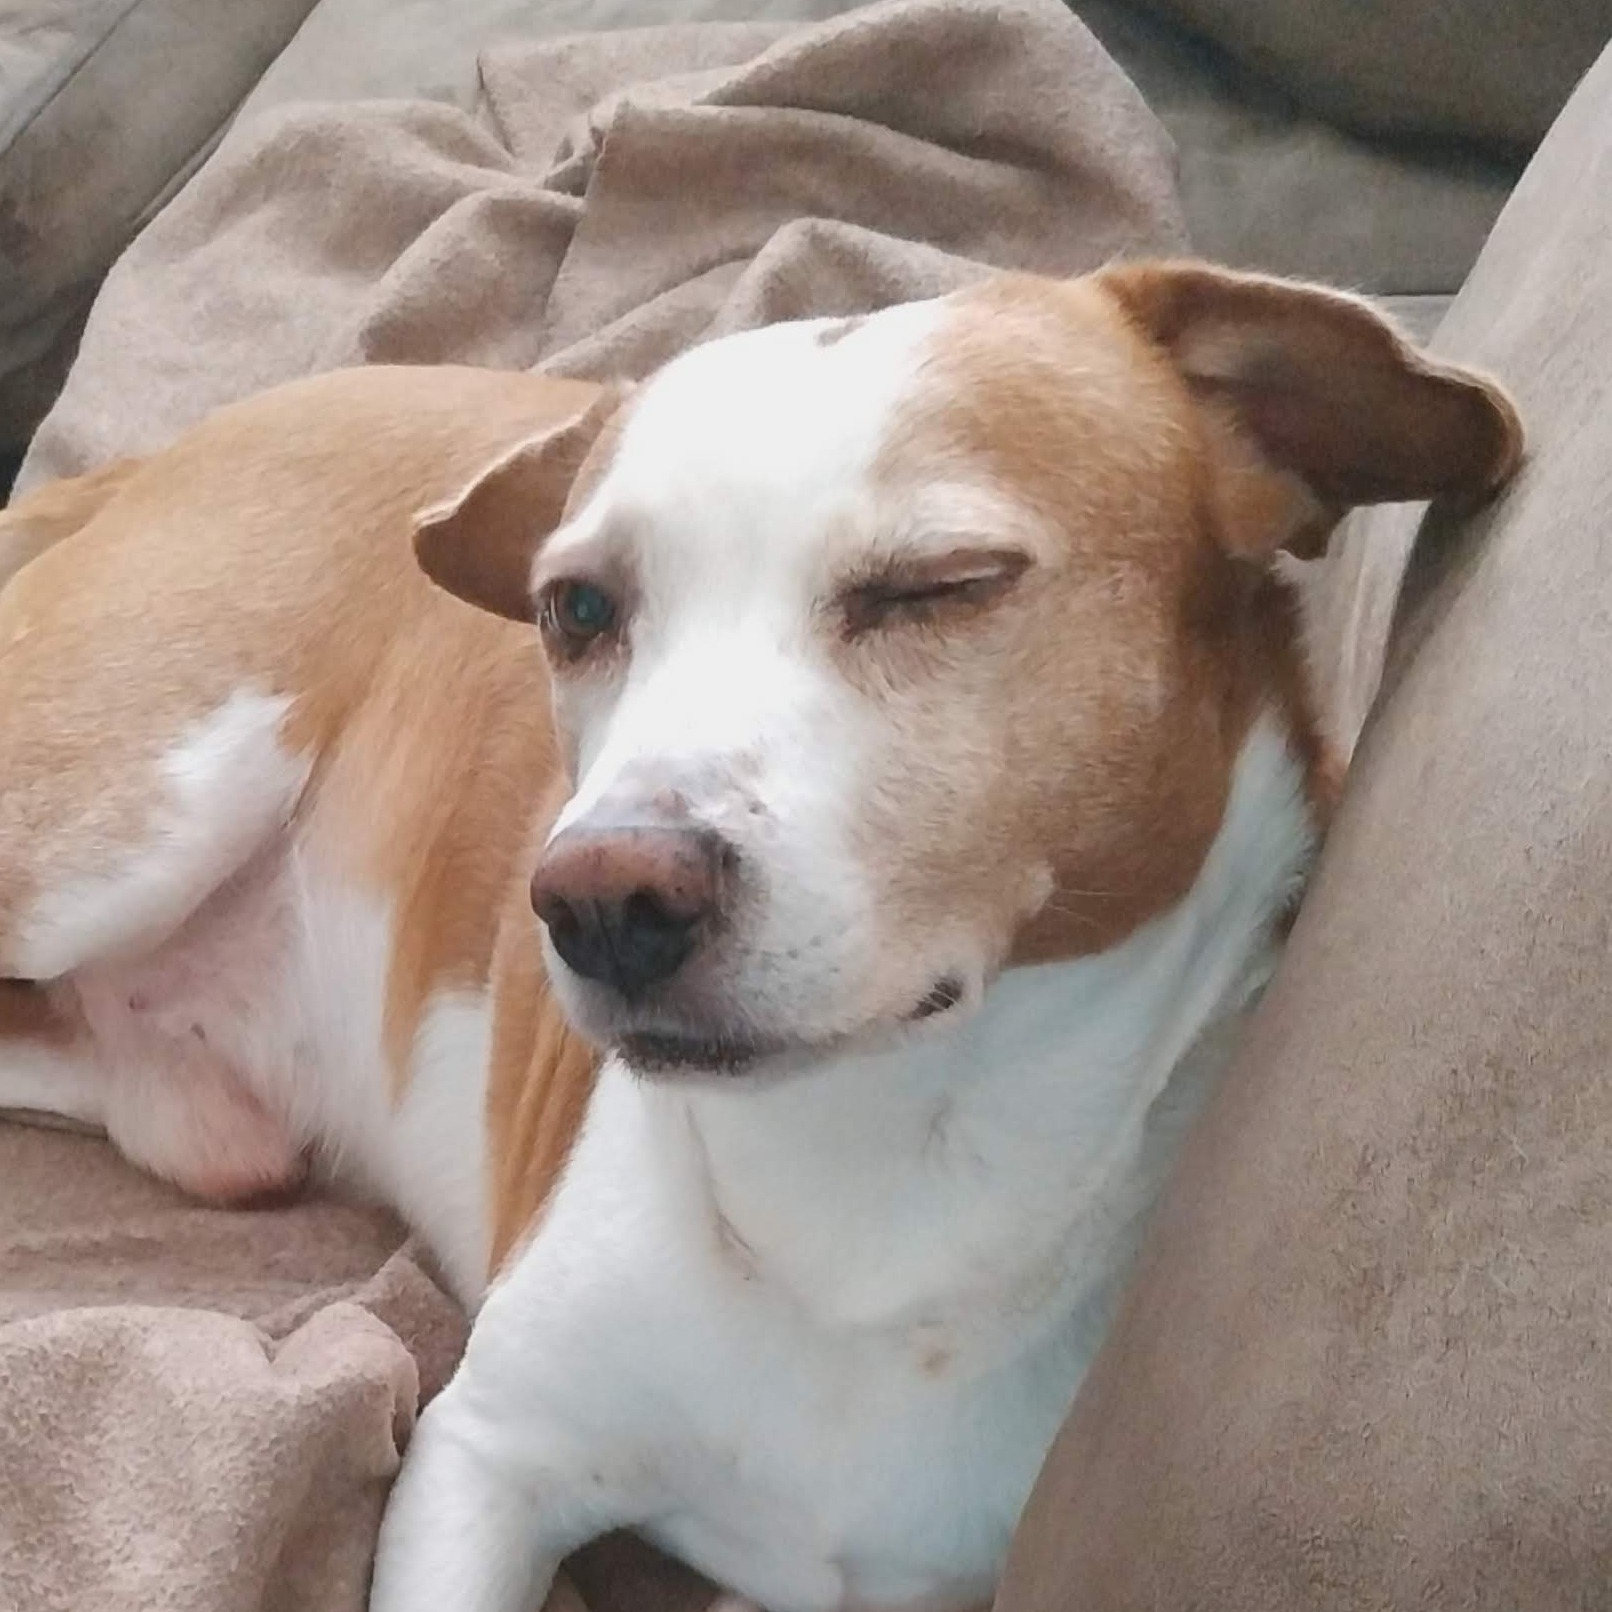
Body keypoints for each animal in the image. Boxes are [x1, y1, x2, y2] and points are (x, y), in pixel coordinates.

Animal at [0, 262, 1520, 1612]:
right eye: (579, 610)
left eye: (938, 586)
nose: (599, 901)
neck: (877, 1178)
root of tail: (165, 451)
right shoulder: (484, 1458)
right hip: (118, 820)